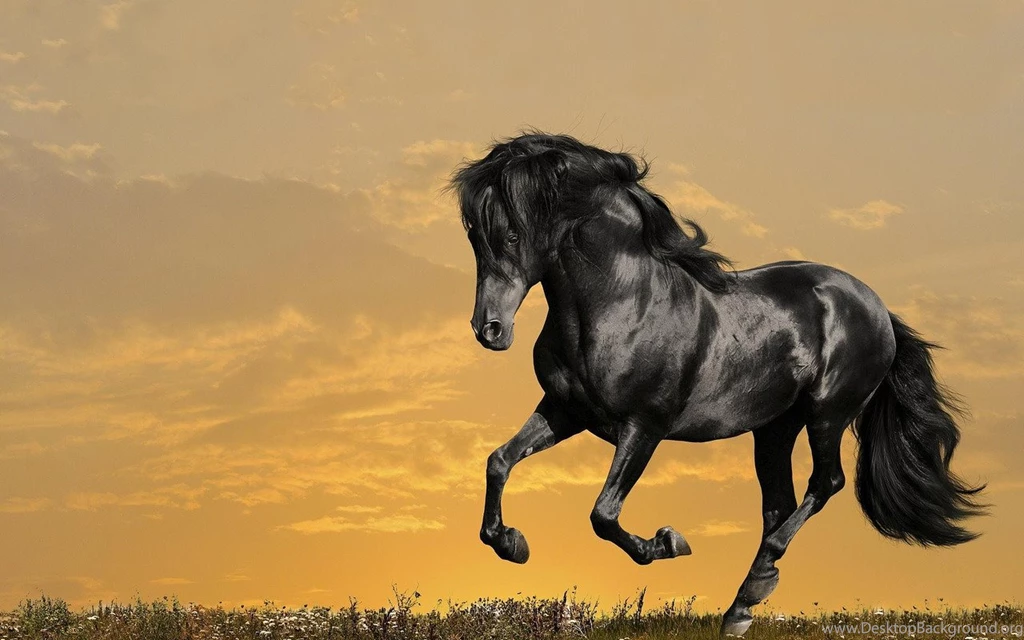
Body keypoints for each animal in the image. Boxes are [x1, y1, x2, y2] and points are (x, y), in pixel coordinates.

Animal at [448, 131, 986, 636]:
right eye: (474, 236)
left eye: (512, 235)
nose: (489, 330)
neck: (621, 304)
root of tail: (876, 308)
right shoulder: (566, 411)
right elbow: (499, 461)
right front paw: (511, 543)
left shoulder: (644, 427)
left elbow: (603, 514)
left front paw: (667, 542)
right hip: (774, 429)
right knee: (779, 505)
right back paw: (740, 609)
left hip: (827, 415)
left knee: (825, 483)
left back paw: (755, 586)